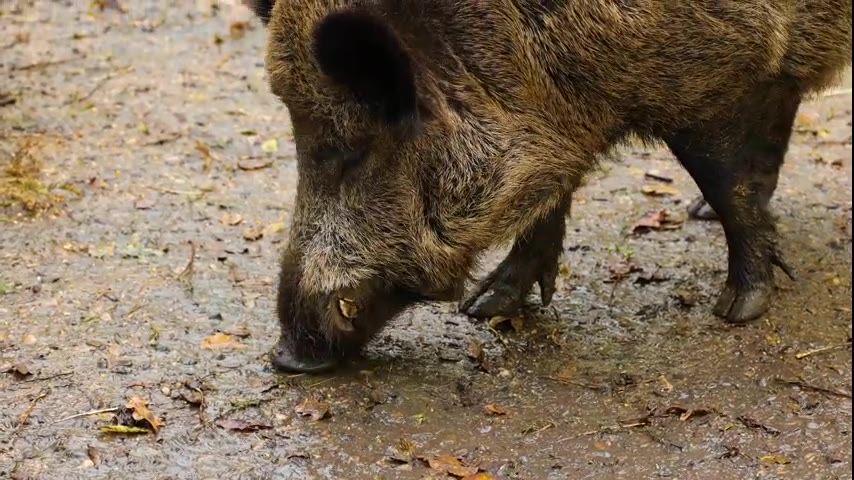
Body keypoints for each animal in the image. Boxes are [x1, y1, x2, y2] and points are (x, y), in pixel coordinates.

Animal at [250, 1, 853, 372]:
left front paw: (737, 311)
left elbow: (730, 186)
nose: (287, 358)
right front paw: (482, 309)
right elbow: (549, 200)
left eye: (350, 150)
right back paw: (697, 213)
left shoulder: (715, 75)